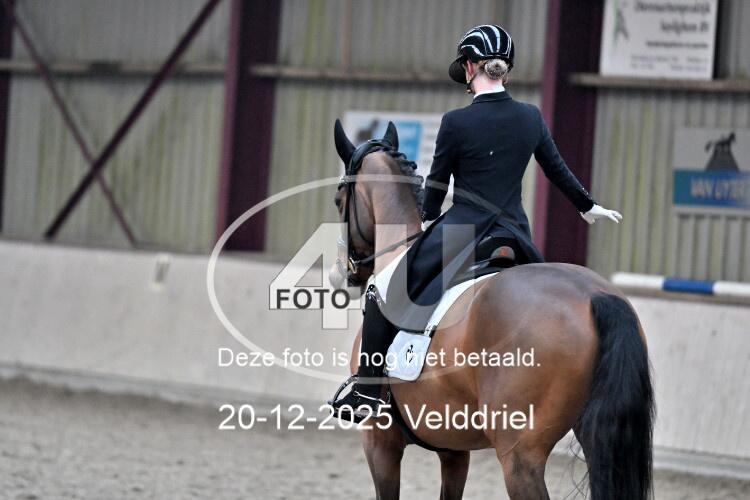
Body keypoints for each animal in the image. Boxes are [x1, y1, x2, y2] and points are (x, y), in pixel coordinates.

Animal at [329, 120, 654, 500]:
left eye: (338, 200)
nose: (343, 273)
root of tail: (593, 296)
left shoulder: (380, 443)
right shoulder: (455, 451)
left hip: (519, 457)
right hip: (594, 436)